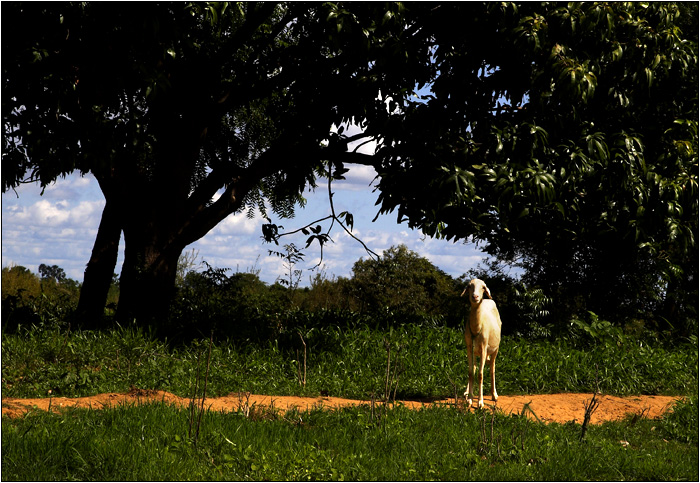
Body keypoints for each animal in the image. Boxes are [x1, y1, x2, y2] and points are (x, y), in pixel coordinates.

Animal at [462, 280, 500, 408]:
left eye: (483, 287)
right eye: (469, 286)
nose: (475, 297)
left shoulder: (484, 348)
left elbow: (480, 375)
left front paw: (480, 402)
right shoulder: (469, 347)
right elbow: (470, 373)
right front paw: (469, 399)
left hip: (495, 350)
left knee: (492, 368)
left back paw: (494, 395)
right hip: (475, 351)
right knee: (473, 368)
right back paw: (467, 392)